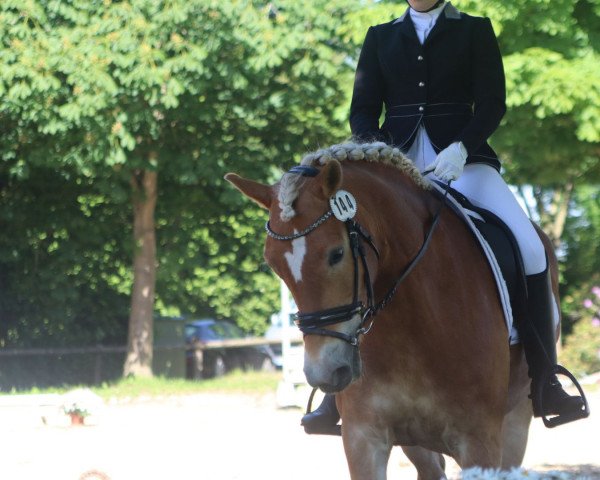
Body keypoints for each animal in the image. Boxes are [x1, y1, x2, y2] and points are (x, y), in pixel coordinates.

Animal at [223, 142, 552, 480]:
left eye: (336, 254)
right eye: (274, 264)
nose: (324, 373)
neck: (413, 324)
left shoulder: (480, 442)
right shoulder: (363, 437)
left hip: (515, 424)